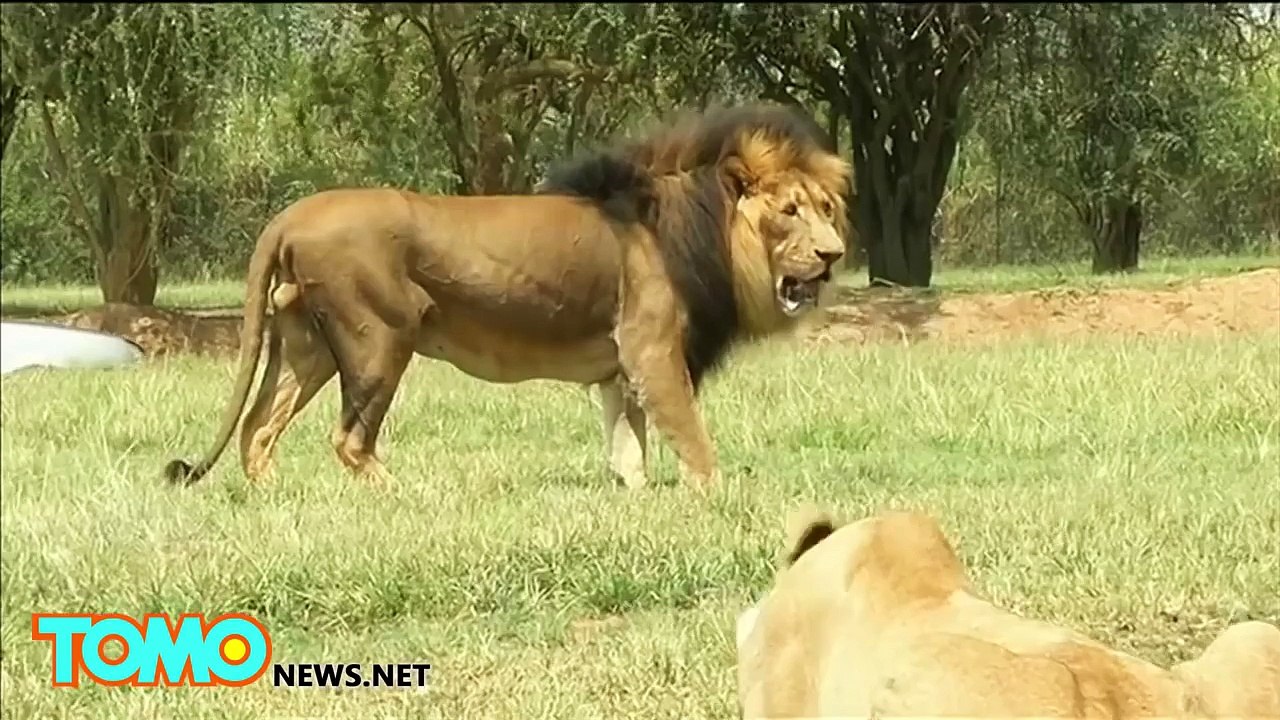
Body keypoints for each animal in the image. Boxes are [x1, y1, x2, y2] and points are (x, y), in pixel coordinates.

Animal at [164, 103, 853, 491]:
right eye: (789, 212)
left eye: (826, 209)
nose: (833, 256)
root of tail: (289, 215)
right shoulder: (652, 347)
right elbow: (690, 436)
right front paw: (718, 497)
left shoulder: (621, 366)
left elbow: (628, 445)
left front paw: (634, 498)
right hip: (378, 338)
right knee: (349, 440)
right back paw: (409, 495)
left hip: (306, 345)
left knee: (257, 428)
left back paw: (273, 498)